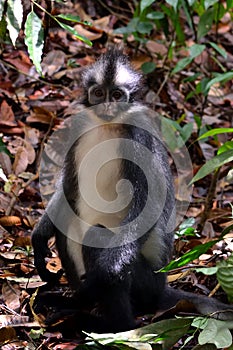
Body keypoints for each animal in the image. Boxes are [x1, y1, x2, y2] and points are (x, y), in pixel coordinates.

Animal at [31, 48, 233, 334]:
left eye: (117, 95)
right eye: (99, 93)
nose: (107, 106)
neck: (108, 124)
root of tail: (161, 289)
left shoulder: (139, 138)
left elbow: (147, 206)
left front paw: (104, 275)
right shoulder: (79, 129)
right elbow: (69, 187)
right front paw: (39, 238)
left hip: (144, 283)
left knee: (99, 237)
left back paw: (103, 322)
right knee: (67, 221)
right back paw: (74, 301)